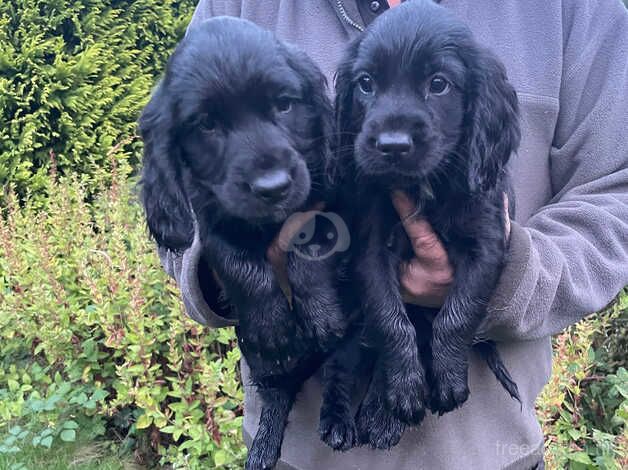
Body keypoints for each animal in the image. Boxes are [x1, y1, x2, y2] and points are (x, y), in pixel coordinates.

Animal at [141, 17, 354, 470]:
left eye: (284, 104)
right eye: (206, 125)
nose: (273, 187)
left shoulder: (332, 198)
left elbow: (310, 246)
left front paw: (321, 312)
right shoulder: (211, 223)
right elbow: (240, 265)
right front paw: (271, 323)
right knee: (276, 394)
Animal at [336, 0, 524, 448]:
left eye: (439, 84)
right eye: (365, 83)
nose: (392, 146)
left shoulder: (486, 245)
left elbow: (456, 316)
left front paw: (449, 381)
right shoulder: (370, 252)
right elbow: (390, 320)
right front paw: (405, 390)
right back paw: (382, 412)